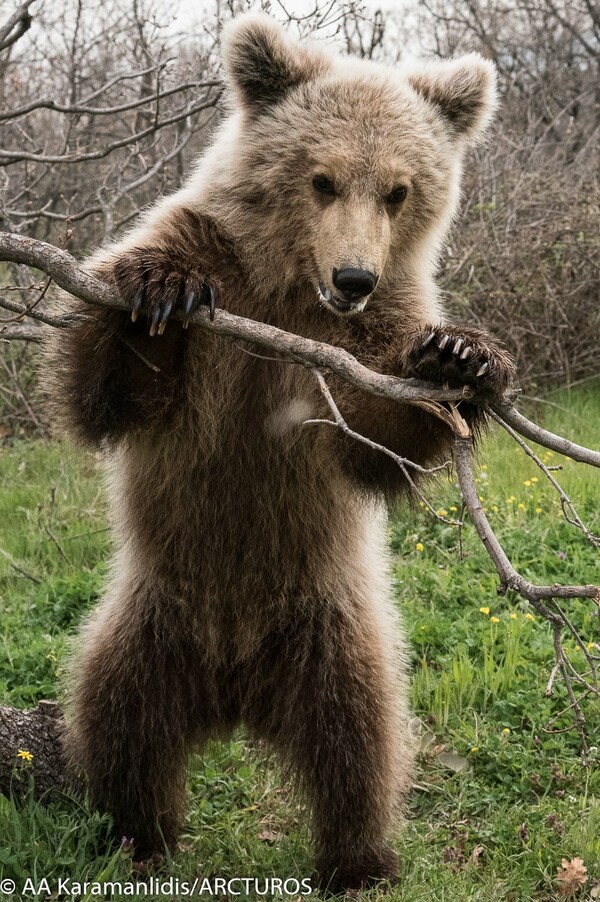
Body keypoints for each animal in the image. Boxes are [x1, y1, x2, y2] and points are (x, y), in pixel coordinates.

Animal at [47, 14, 516, 896]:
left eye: (398, 189)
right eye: (322, 179)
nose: (354, 276)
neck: (288, 288)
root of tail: (233, 688)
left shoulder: (361, 341)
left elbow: (377, 444)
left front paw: (461, 357)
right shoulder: (218, 274)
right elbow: (112, 395)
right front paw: (157, 295)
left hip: (332, 629)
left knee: (360, 746)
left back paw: (359, 860)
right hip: (148, 619)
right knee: (119, 723)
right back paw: (136, 835)